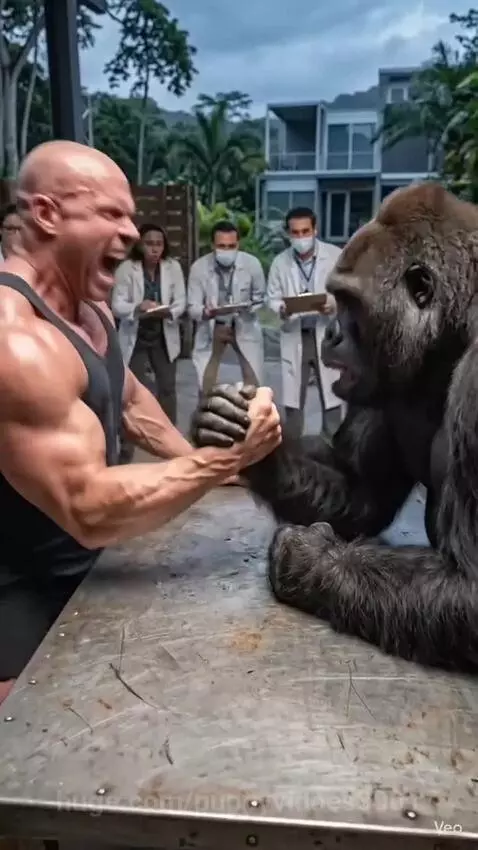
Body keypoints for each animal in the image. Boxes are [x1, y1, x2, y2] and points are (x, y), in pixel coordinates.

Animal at [190, 182, 478, 673]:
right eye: (336, 299)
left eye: (349, 302)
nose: (330, 334)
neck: (448, 336)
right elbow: (359, 490)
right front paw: (248, 441)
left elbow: (472, 587)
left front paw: (309, 559)